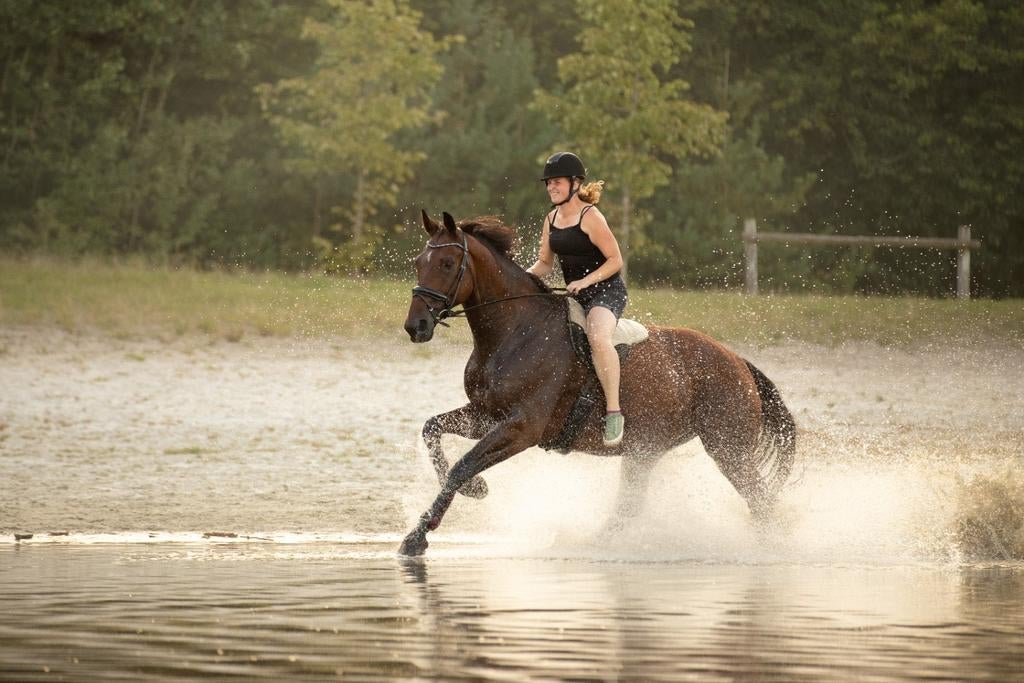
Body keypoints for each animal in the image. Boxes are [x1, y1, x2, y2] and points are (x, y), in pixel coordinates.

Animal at [399, 211, 796, 556]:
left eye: (447, 264)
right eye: (419, 262)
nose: (416, 326)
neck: (515, 332)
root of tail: (738, 362)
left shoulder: (522, 427)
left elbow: (462, 465)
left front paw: (420, 535)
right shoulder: (486, 415)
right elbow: (432, 429)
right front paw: (473, 490)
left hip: (729, 449)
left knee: (762, 503)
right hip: (645, 451)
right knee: (630, 508)